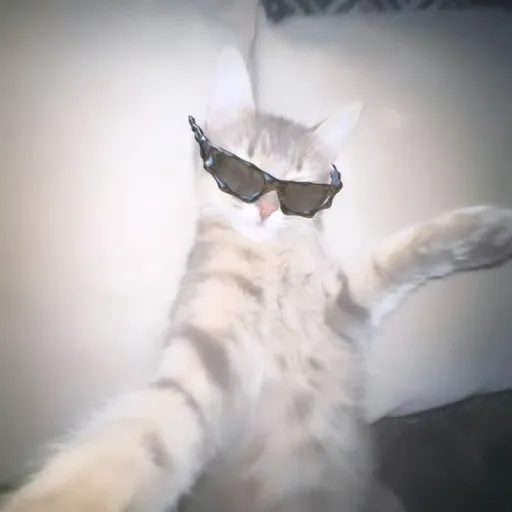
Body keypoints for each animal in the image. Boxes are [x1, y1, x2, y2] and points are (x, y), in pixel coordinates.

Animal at [4, 46, 512, 512]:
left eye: (300, 186)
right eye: (242, 170)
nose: (267, 209)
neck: (269, 265)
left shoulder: (338, 306)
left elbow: (398, 256)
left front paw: (484, 233)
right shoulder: (208, 354)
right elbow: (147, 435)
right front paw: (67, 493)